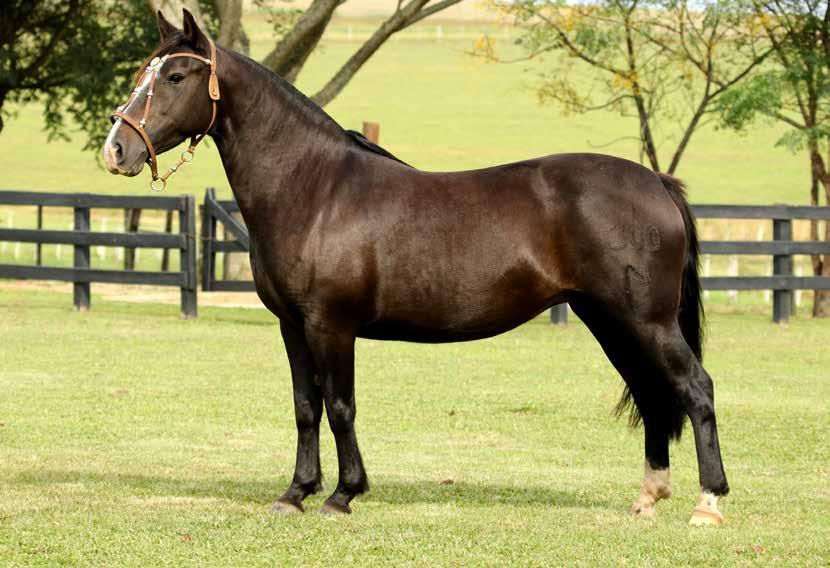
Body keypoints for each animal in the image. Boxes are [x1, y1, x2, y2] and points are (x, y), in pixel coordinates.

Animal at [102, 10, 728, 524]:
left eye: (175, 77)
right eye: (144, 72)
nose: (116, 150)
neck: (315, 190)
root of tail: (656, 181)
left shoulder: (331, 326)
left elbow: (340, 406)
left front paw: (343, 494)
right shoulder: (292, 326)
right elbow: (306, 408)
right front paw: (295, 492)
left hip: (645, 321)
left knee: (695, 387)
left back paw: (708, 503)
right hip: (609, 320)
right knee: (652, 393)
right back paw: (648, 498)